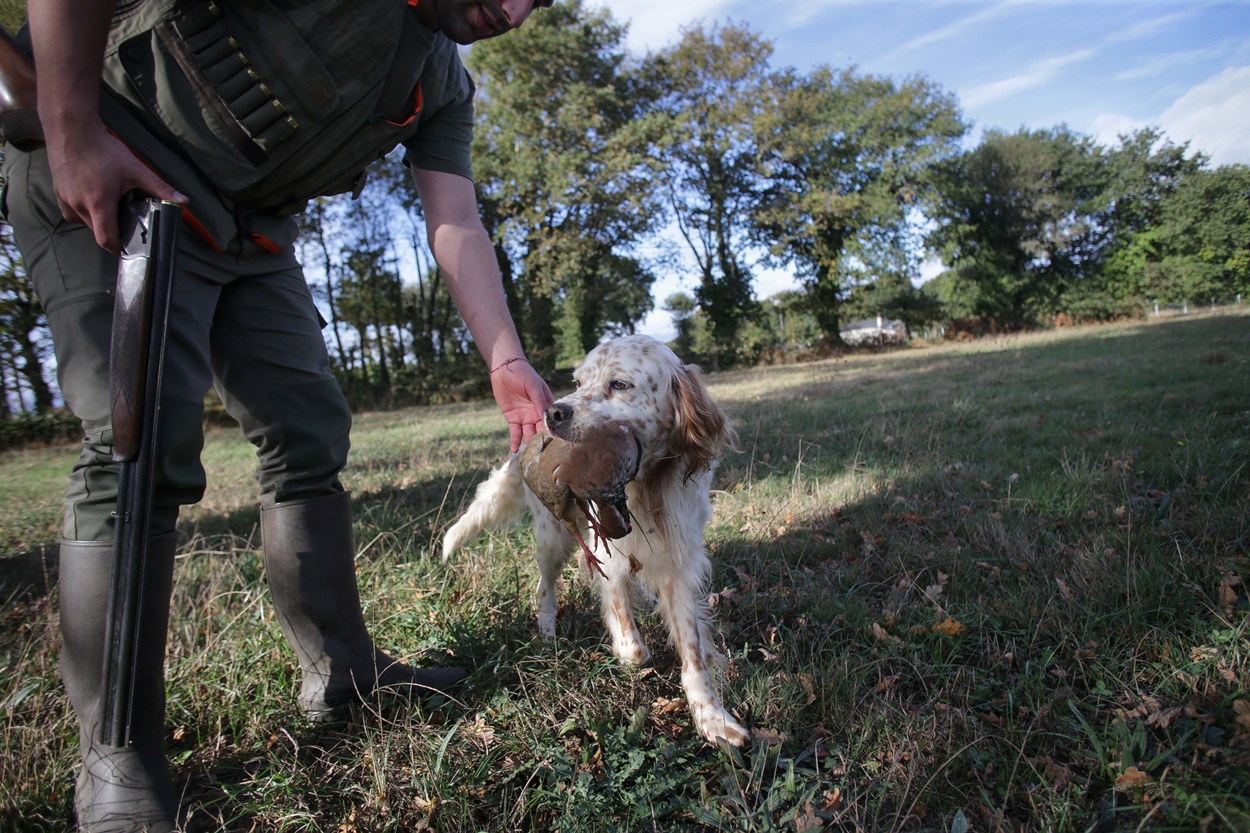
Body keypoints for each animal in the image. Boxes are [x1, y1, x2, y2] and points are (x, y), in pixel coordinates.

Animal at [442, 335, 745, 740]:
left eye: (620, 384)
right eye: (577, 382)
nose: (553, 412)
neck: (647, 490)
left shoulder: (680, 566)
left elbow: (692, 648)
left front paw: (711, 717)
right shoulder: (610, 557)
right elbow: (633, 645)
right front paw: (622, 646)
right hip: (554, 536)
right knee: (544, 585)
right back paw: (547, 629)